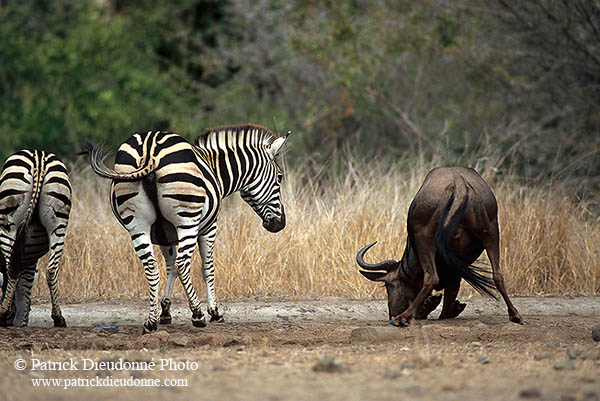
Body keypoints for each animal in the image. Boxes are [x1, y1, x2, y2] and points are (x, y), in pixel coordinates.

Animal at [0, 148, 71, 326]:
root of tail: (39, 157)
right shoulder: (30, 255)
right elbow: (25, 287)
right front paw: (21, 319)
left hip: (8, 223)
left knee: (11, 268)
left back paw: (3, 314)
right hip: (58, 221)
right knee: (51, 270)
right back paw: (58, 318)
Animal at [84, 123, 288, 332]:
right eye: (280, 177)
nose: (280, 224)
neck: (215, 169)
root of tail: (149, 149)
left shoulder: (165, 234)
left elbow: (170, 267)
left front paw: (165, 310)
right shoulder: (209, 227)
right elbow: (207, 268)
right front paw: (214, 312)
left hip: (137, 223)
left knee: (152, 266)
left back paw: (151, 322)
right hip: (187, 220)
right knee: (183, 263)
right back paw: (198, 315)